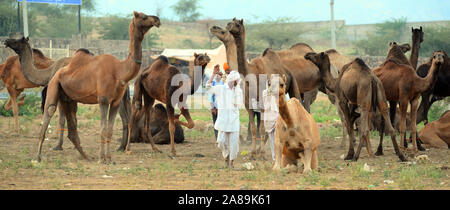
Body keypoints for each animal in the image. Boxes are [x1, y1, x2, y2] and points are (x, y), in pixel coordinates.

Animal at [8, 11, 160, 162]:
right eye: (143, 16)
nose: (157, 19)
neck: (119, 70)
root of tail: (57, 73)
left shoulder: (115, 101)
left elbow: (109, 130)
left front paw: (109, 159)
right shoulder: (103, 99)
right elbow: (102, 129)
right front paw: (101, 158)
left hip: (68, 96)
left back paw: (90, 154)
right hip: (55, 87)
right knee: (49, 111)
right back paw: (38, 156)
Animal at [225, 17, 302, 156]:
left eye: (237, 24)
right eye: (231, 21)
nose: (228, 25)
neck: (251, 73)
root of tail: (288, 72)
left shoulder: (262, 106)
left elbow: (261, 128)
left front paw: (261, 152)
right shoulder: (249, 105)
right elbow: (254, 128)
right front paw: (253, 152)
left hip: (294, 87)